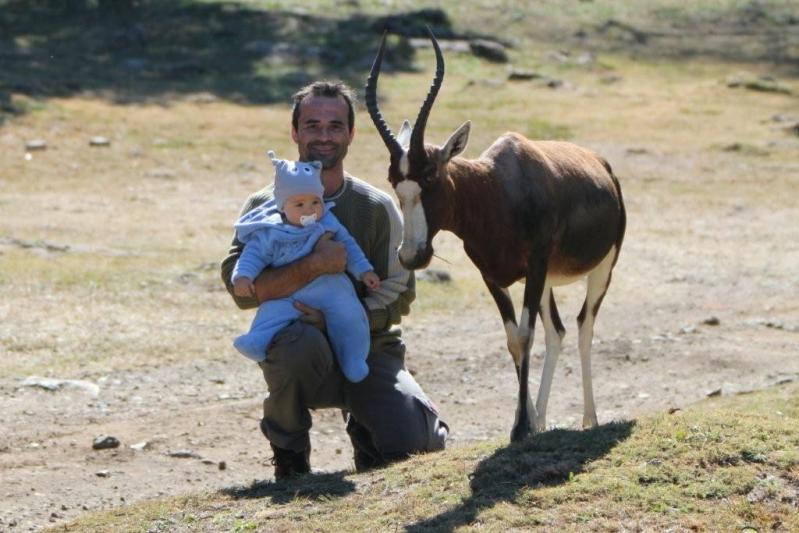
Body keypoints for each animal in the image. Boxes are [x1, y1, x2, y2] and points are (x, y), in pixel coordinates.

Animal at [366, 31, 628, 442]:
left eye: (431, 176)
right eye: (394, 180)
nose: (411, 255)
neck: (499, 187)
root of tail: (605, 168)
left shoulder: (534, 268)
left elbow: (525, 336)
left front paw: (520, 428)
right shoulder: (493, 277)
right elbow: (513, 340)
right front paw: (527, 423)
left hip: (600, 270)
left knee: (584, 326)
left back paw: (590, 419)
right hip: (548, 282)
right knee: (557, 331)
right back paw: (544, 419)